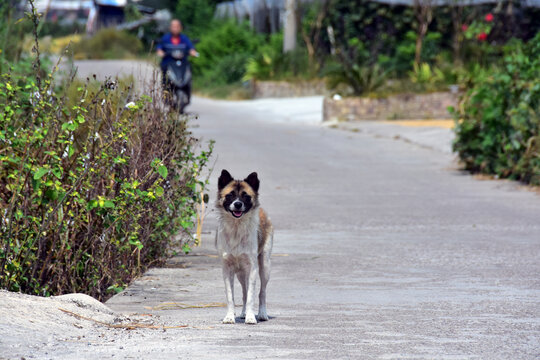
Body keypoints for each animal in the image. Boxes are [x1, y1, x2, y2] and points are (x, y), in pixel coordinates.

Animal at [215, 170, 274, 324]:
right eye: (230, 195)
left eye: (246, 196)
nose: (237, 204)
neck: (237, 227)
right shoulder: (227, 269)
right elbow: (231, 296)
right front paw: (230, 317)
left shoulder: (252, 268)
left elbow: (252, 295)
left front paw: (251, 317)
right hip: (241, 273)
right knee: (244, 291)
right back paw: (243, 313)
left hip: (265, 266)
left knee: (262, 292)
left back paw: (262, 313)